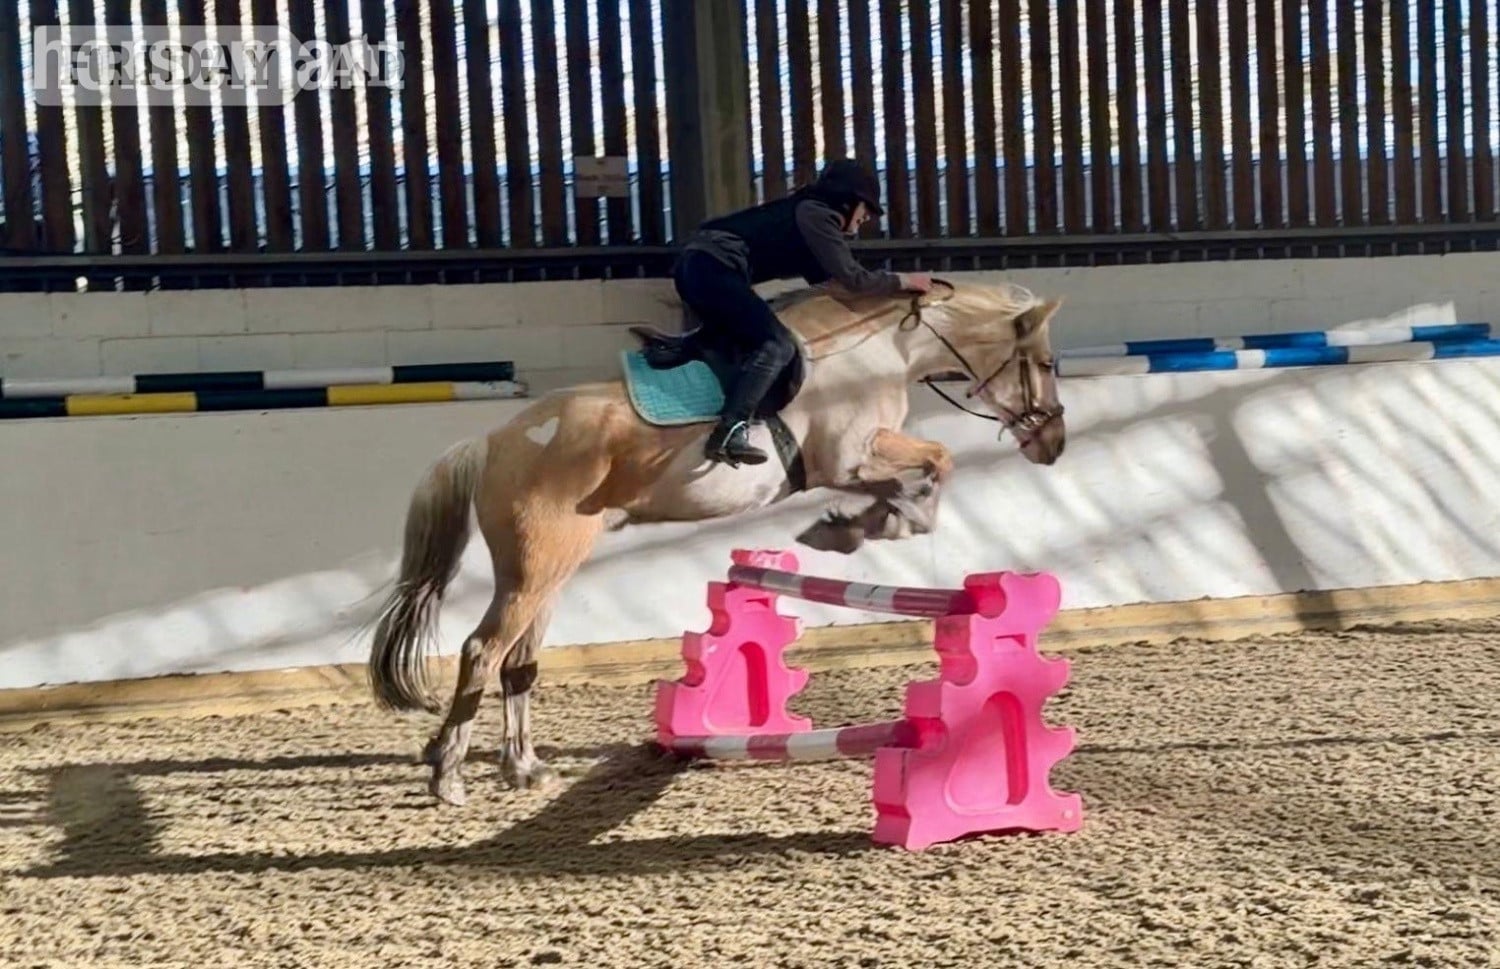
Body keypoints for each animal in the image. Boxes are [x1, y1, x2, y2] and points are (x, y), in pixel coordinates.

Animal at [365, 275, 1068, 806]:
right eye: (1043, 363)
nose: (1054, 444)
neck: (881, 351)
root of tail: (492, 441)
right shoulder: (849, 458)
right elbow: (938, 460)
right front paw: (882, 522)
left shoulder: (852, 466)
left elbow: (915, 476)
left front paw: (854, 525)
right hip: (536, 569)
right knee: (483, 651)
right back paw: (449, 775)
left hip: (547, 571)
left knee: (518, 662)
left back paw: (523, 768)